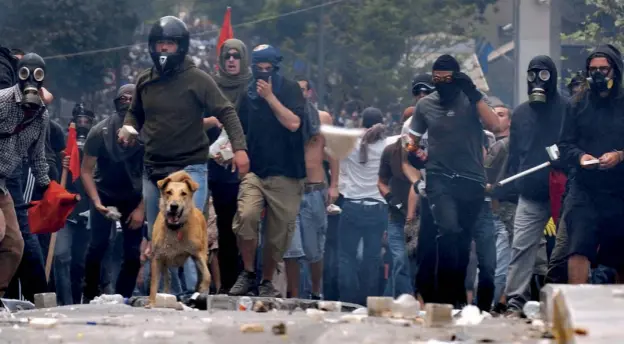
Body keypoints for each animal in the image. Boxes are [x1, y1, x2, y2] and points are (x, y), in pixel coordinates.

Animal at [149, 171, 212, 308]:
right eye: (169, 192)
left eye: (183, 193)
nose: (174, 206)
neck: (175, 229)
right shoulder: (157, 257)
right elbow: (154, 284)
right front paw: (151, 303)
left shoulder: (197, 254)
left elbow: (207, 275)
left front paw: (203, 289)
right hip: (164, 261)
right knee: (167, 279)